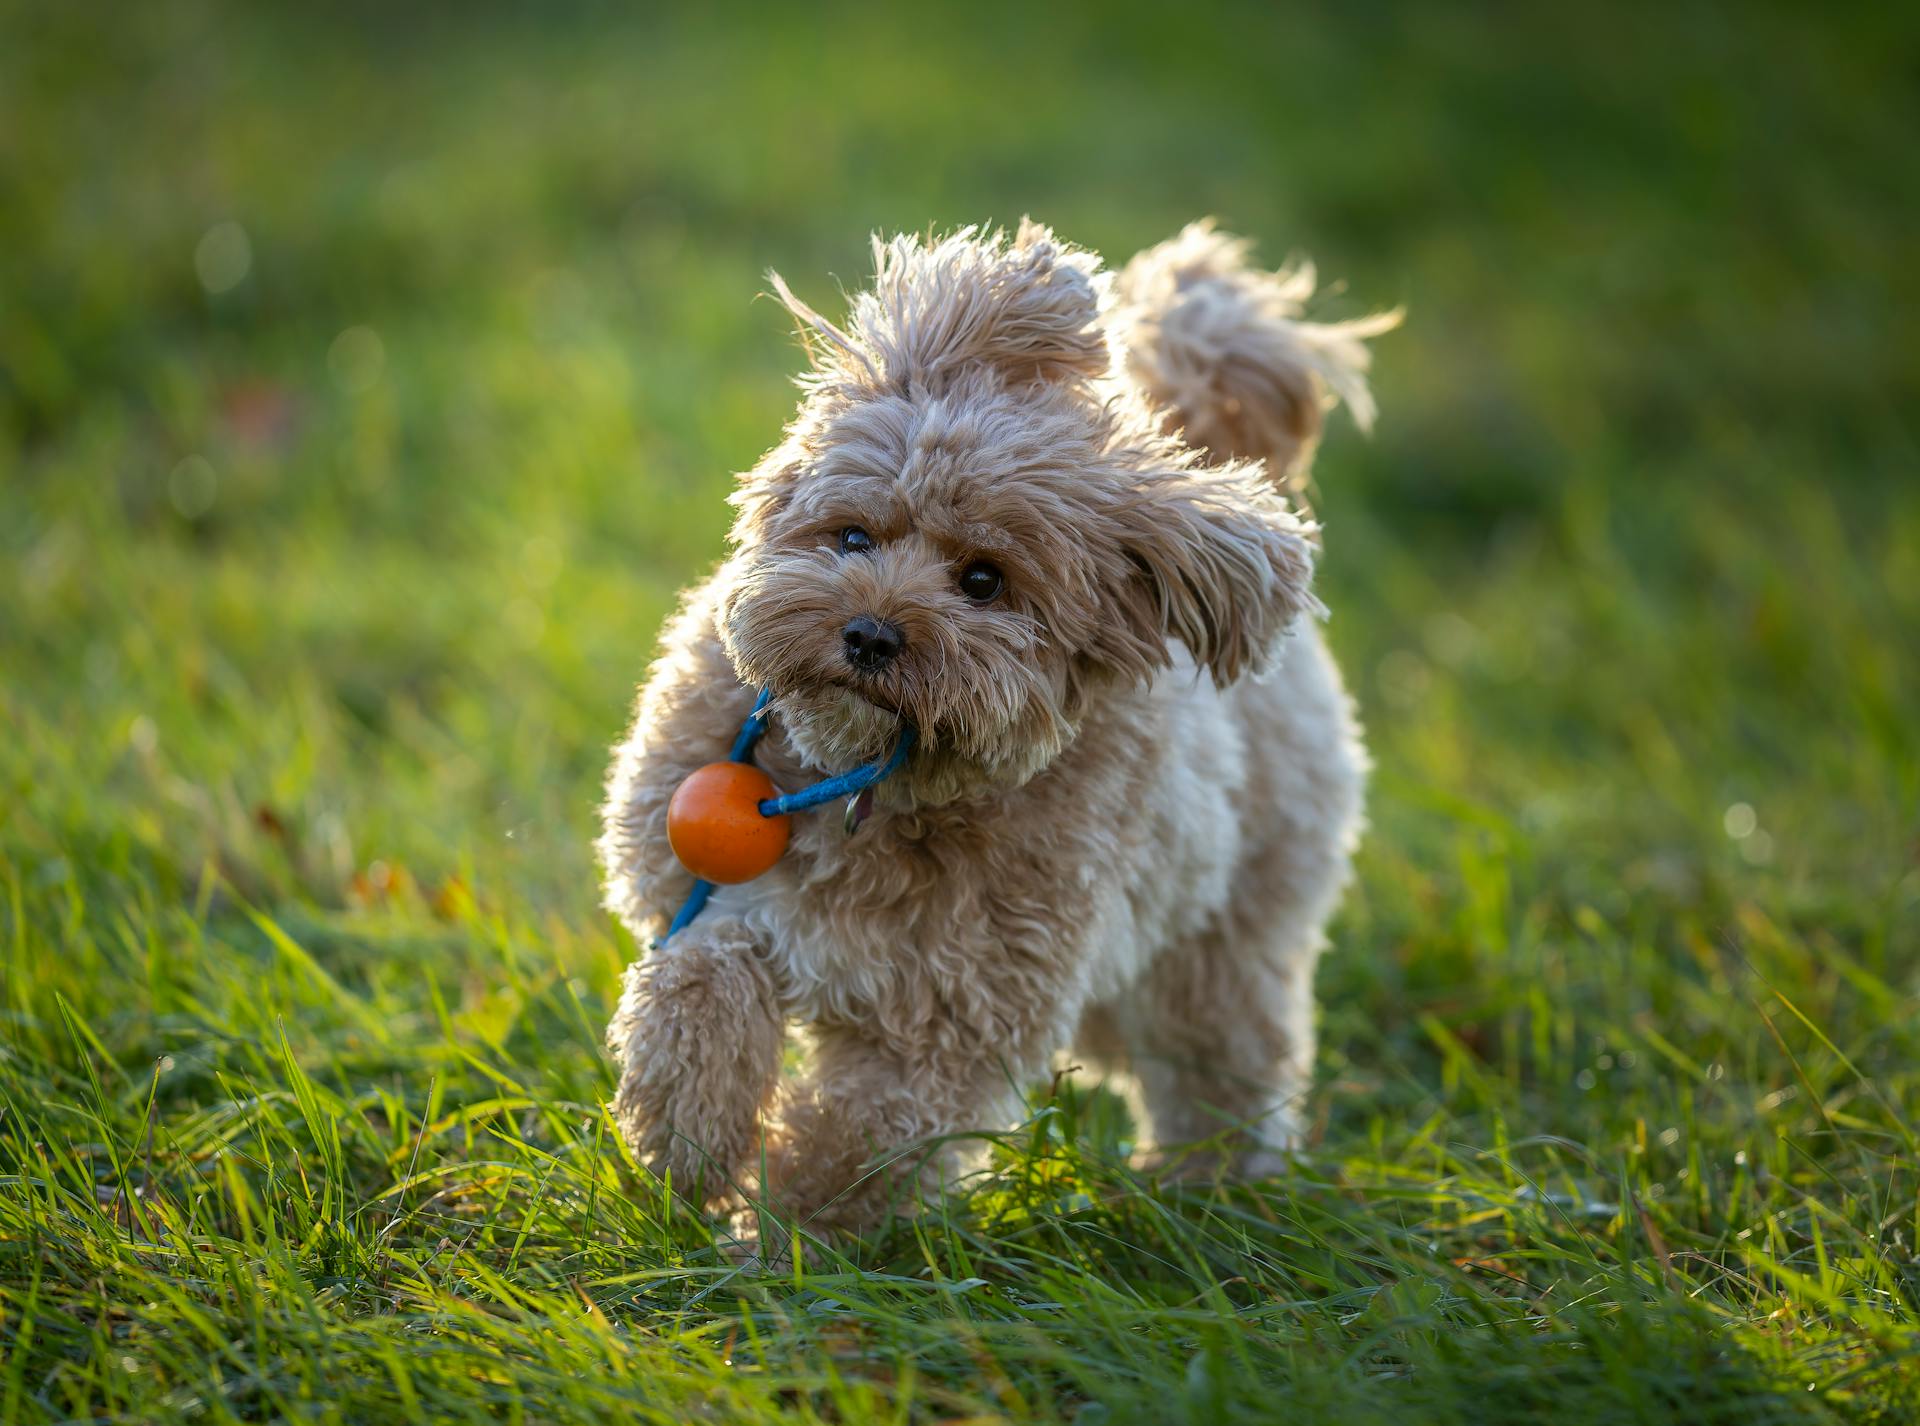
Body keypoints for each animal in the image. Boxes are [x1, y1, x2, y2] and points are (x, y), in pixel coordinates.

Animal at [591, 217, 1390, 1235]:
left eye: (984, 581)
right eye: (854, 535)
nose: (870, 634)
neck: (869, 789)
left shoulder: (946, 1024)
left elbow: (853, 1140)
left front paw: (781, 1241)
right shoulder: (704, 895)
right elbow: (707, 977)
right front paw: (688, 1136)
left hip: (1223, 935)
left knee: (1226, 1056)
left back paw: (1215, 1187)